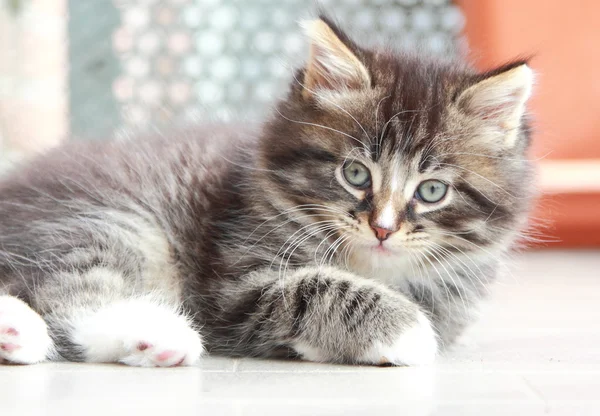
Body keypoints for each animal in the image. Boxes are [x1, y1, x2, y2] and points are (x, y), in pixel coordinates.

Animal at [0, 16, 536, 368]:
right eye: (356, 174)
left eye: (432, 190)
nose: (382, 229)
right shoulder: (234, 280)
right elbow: (314, 286)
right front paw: (407, 329)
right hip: (109, 219)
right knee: (68, 293)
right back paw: (156, 331)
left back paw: (20, 336)